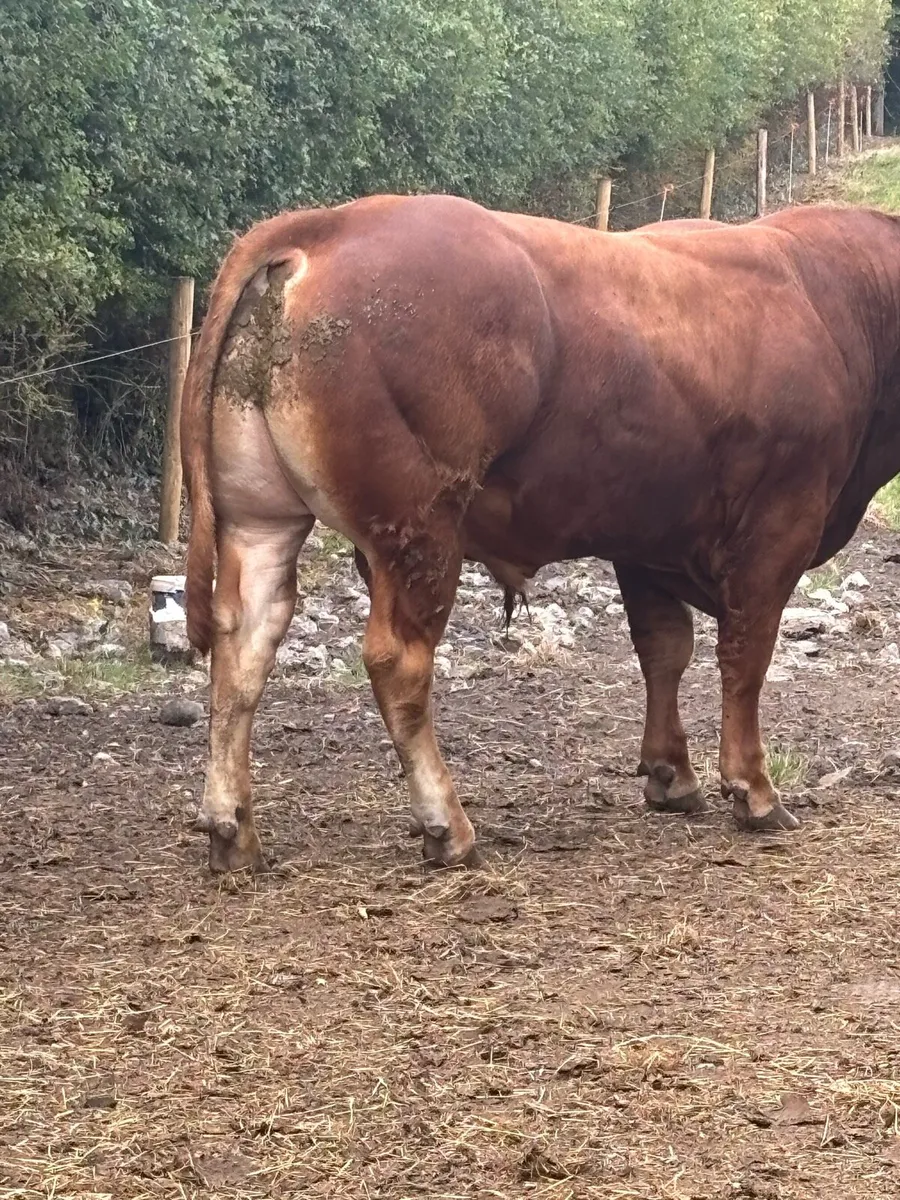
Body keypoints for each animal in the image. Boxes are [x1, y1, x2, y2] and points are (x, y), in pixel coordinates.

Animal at [181, 194, 900, 873]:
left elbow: (665, 649)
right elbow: (745, 659)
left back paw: (232, 830)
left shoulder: (644, 537)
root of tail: (330, 223)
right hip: (420, 529)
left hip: (262, 519)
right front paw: (753, 790)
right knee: (397, 661)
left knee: (243, 646)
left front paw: (671, 774)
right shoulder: (779, 525)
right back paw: (448, 827)